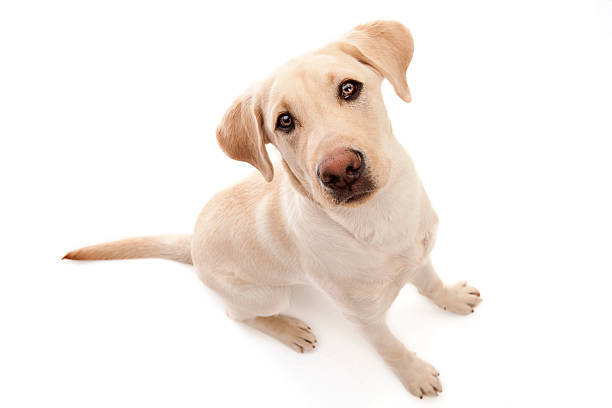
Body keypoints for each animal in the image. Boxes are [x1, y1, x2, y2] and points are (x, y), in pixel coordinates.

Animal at [63, 21, 482, 398]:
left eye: (349, 88)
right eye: (284, 121)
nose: (339, 171)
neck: (380, 217)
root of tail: (192, 242)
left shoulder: (420, 255)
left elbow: (430, 284)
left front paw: (451, 298)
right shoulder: (364, 317)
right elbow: (390, 348)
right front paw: (414, 374)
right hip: (268, 295)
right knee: (238, 314)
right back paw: (289, 329)